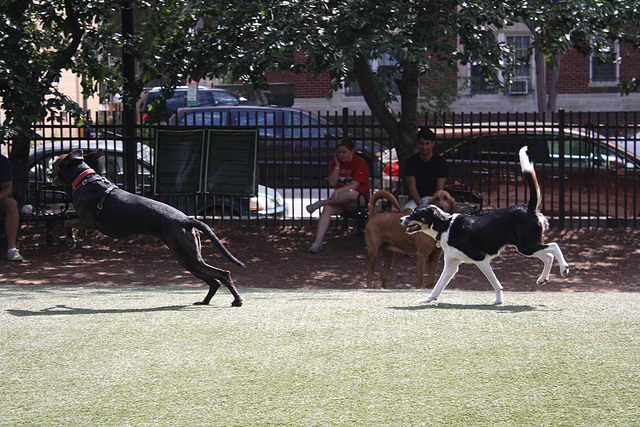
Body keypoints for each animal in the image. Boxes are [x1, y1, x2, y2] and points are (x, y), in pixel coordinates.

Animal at [49, 150, 245, 308]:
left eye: (55, 163)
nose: (48, 172)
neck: (85, 180)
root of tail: (186, 219)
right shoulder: (86, 221)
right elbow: (73, 224)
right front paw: (78, 235)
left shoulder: (87, 220)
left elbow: (66, 222)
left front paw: (71, 240)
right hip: (186, 258)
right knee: (213, 281)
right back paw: (204, 301)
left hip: (188, 257)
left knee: (223, 274)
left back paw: (237, 300)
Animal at [400, 147, 568, 304]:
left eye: (415, 213)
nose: (401, 219)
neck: (446, 226)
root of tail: (529, 208)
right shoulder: (451, 265)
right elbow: (437, 287)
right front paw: (427, 300)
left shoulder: (480, 259)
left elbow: (496, 284)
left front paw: (498, 300)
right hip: (528, 246)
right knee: (548, 256)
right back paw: (543, 278)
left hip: (526, 246)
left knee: (554, 246)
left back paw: (564, 268)